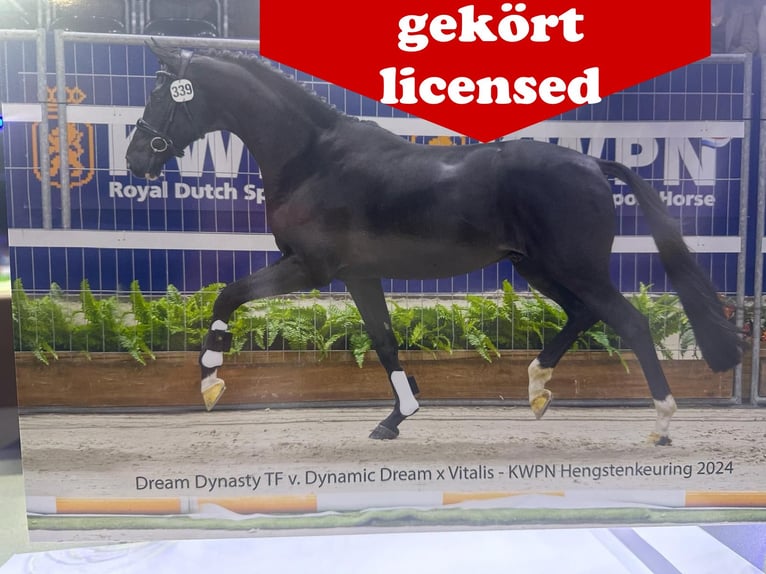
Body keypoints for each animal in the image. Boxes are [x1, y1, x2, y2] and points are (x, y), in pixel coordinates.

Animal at [125, 44, 742, 445]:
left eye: (159, 94)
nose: (134, 159)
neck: (314, 159)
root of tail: (592, 163)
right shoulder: (358, 274)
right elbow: (383, 340)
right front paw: (397, 416)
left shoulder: (310, 267)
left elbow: (228, 294)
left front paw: (210, 381)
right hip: (539, 268)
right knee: (585, 314)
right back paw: (537, 388)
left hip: (575, 267)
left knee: (630, 321)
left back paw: (660, 423)